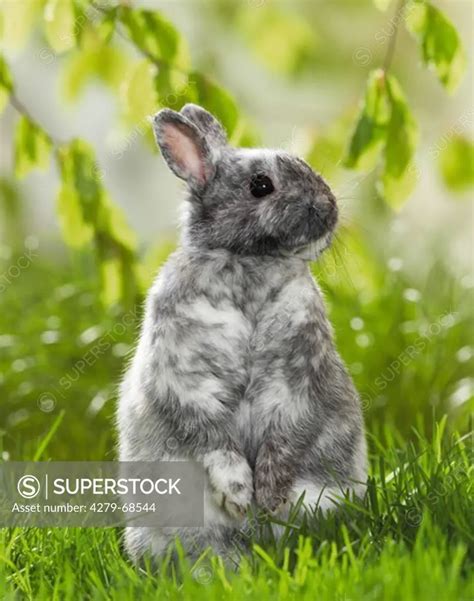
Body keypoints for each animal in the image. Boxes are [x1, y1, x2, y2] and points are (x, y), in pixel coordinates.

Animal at [116, 104, 368, 564]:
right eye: (260, 185)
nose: (328, 208)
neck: (250, 264)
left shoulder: (296, 382)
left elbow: (285, 438)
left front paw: (267, 496)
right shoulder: (189, 382)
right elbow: (215, 440)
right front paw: (238, 496)